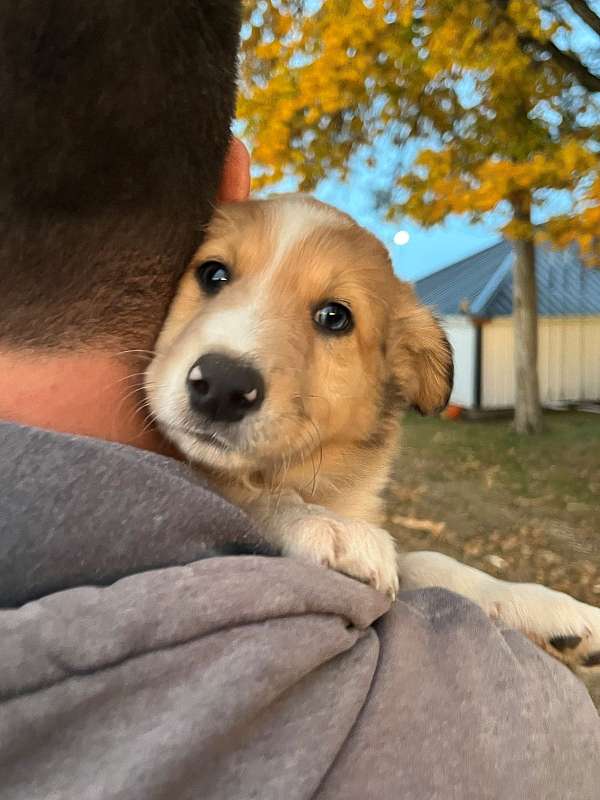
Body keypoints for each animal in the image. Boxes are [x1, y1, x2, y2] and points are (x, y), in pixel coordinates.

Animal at [148, 194, 600, 668]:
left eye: (334, 317)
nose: (222, 385)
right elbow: (254, 496)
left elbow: (429, 560)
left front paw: (545, 607)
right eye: (212, 273)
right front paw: (325, 524)